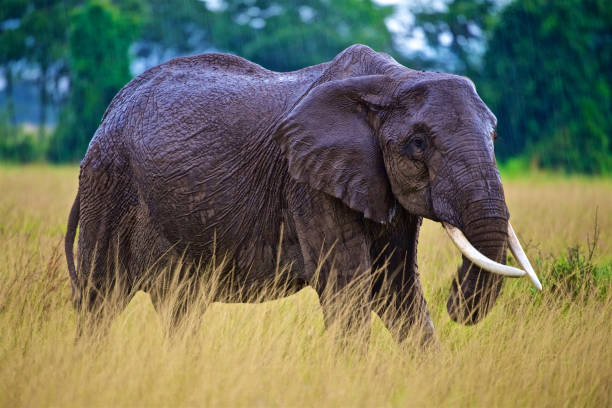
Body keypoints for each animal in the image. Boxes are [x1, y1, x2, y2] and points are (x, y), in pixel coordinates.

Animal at [64, 43, 536, 342]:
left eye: (495, 135)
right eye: (418, 144)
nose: (456, 300)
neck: (393, 80)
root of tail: (106, 115)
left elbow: (397, 288)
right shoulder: (308, 183)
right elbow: (348, 288)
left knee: (182, 306)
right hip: (109, 184)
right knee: (99, 299)